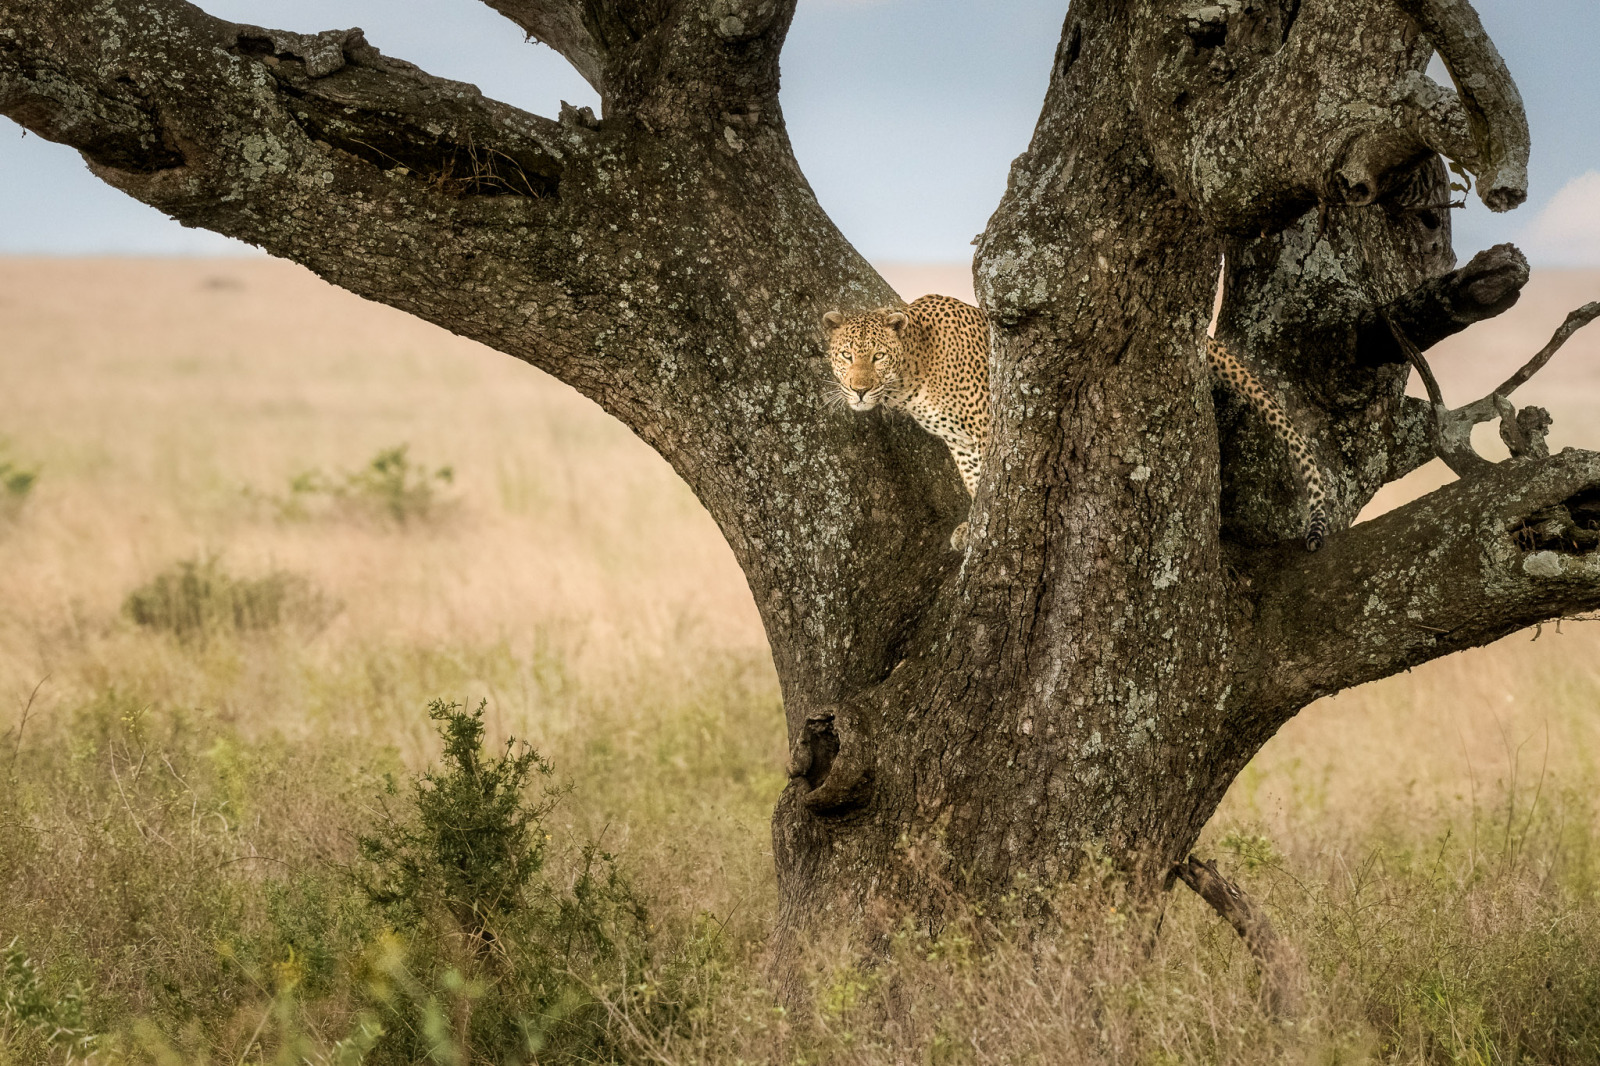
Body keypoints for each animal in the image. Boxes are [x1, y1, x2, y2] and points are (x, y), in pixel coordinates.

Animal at [819, 292, 1331, 550]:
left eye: (877, 356)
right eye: (846, 356)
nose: (859, 388)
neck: (911, 375)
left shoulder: (988, 427)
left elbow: (990, 480)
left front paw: (981, 527)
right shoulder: (962, 443)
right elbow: (974, 481)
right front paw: (973, 524)